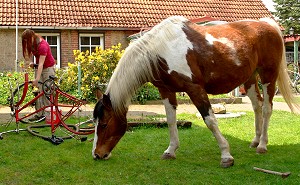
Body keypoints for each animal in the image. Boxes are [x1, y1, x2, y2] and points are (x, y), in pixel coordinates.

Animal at [92, 15, 298, 168]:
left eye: (104, 124)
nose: (97, 154)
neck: (160, 51)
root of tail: (268, 24)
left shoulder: (195, 89)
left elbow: (210, 120)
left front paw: (226, 155)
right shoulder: (166, 91)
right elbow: (171, 121)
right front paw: (170, 150)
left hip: (268, 76)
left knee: (267, 108)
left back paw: (262, 145)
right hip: (249, 79)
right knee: (257, 106)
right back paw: (255, 140)